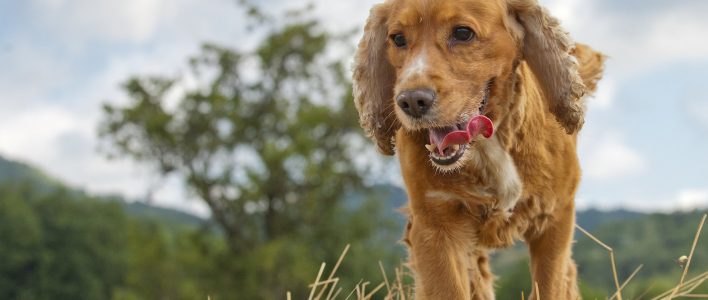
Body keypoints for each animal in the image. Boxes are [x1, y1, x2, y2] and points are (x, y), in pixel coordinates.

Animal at [352, 0, 604, 298]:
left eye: (463, 33)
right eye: (398, 39)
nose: (411, 101)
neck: (486, 143)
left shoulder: (554, 218)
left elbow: (550, 286)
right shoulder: (434, 226)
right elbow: (448, 289)